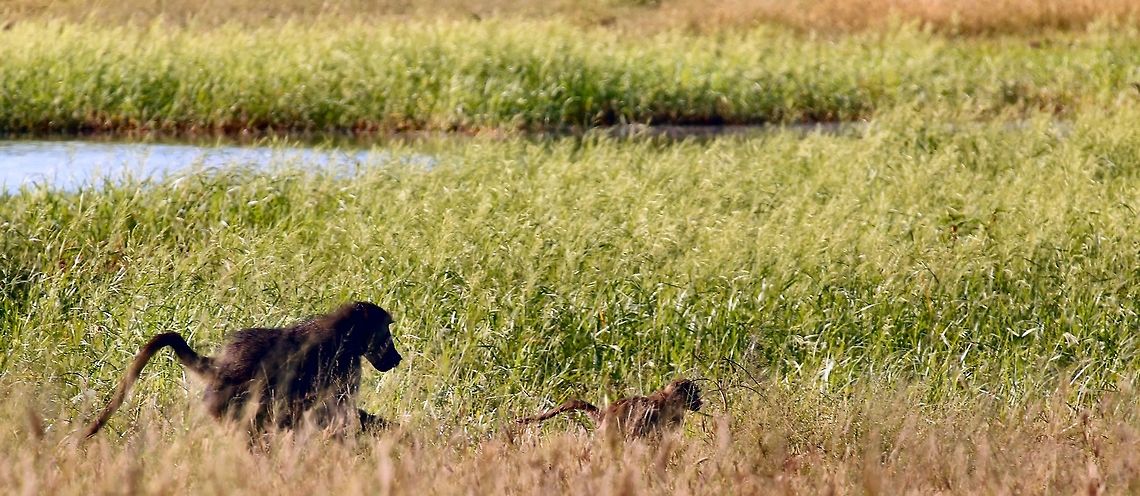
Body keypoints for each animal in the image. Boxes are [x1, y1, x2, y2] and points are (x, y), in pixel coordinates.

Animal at [82, 301, 402, 438]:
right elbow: (339, 412)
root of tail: (219, 366)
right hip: (230, 404)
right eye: (385, 330)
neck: (345, 333)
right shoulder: (344, 367)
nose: (396, 357)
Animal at [516, 378, 702, 439]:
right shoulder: (651, 412)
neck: (669, 401)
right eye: (694, 393)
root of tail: (605, 413)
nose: (700, 403)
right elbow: (636, 433)